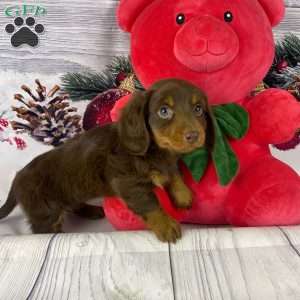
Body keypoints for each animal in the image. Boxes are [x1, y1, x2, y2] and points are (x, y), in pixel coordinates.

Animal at [0, 78, 213, 243]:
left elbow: (173, 173)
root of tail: (17, 178)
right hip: (45, 212)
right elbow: (150, 204)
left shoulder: (167, 163)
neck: (155, 151)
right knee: (44, 230)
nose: (194, 135)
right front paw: (166, 225)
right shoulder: (127, 182)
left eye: (198, 109)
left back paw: (92, 211)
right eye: (164, 111)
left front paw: (183, 194)